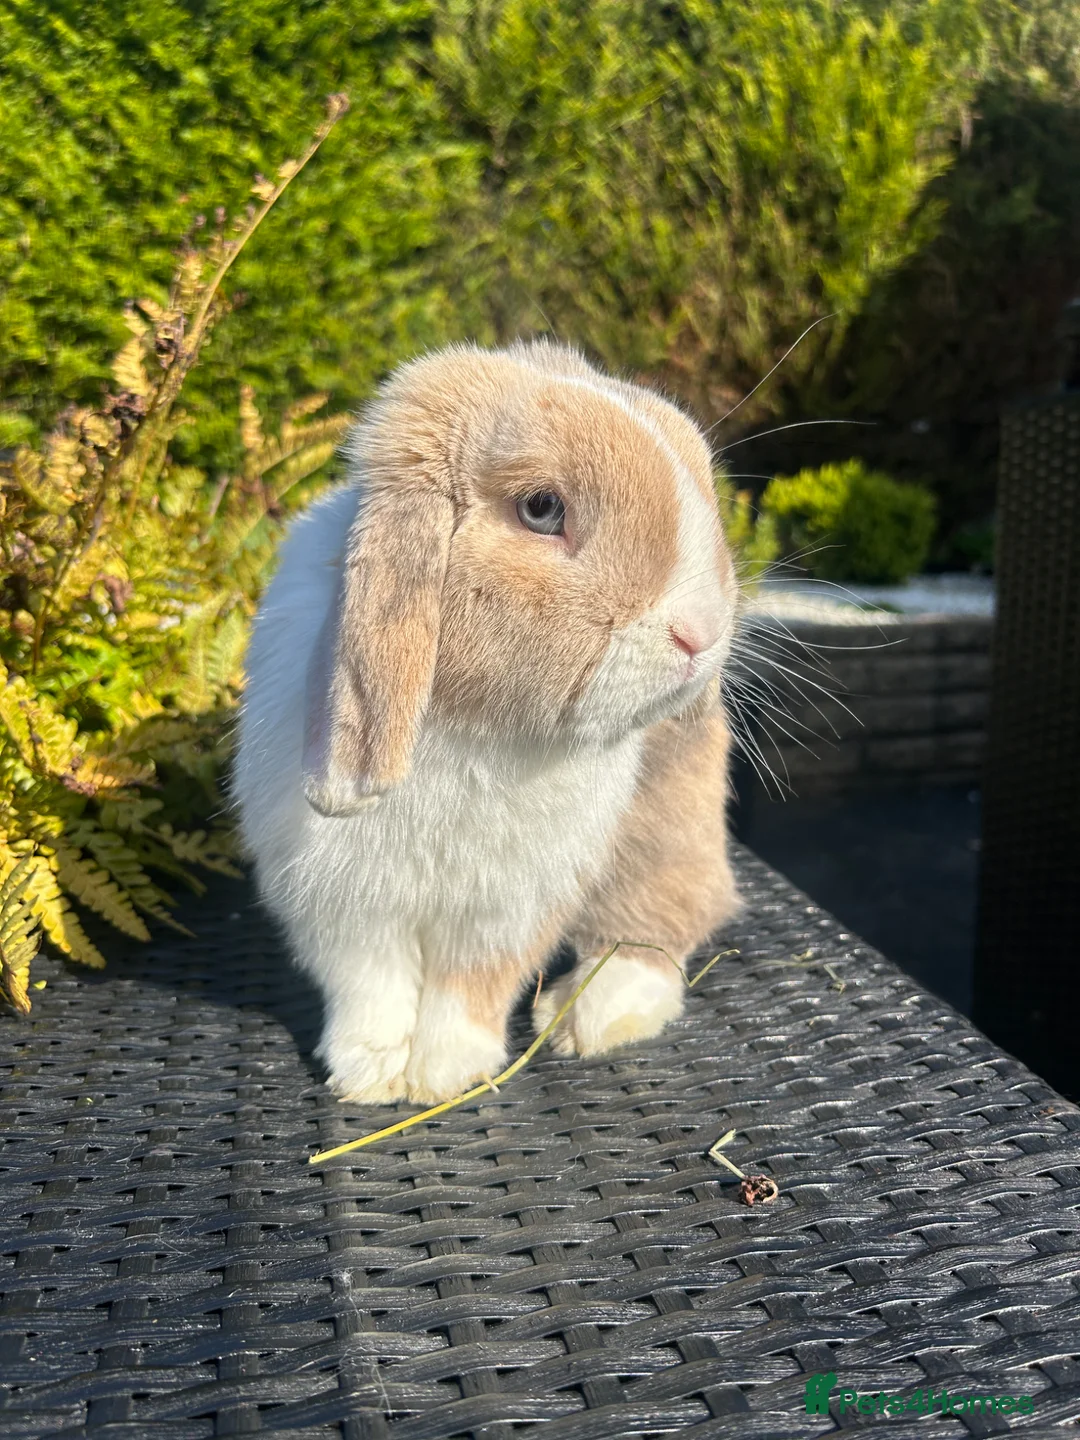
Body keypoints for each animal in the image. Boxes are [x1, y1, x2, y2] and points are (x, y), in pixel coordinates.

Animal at [233, 339, 742, 1104]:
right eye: (542, 508)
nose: (701, 634)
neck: (470, 725)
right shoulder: (345, 906)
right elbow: (369, 986)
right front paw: (368, 1074)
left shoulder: (508, 909)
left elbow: (470, 986)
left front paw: (445, 1074)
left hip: (668, 826)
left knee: (663, 917)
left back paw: (592, 1015)